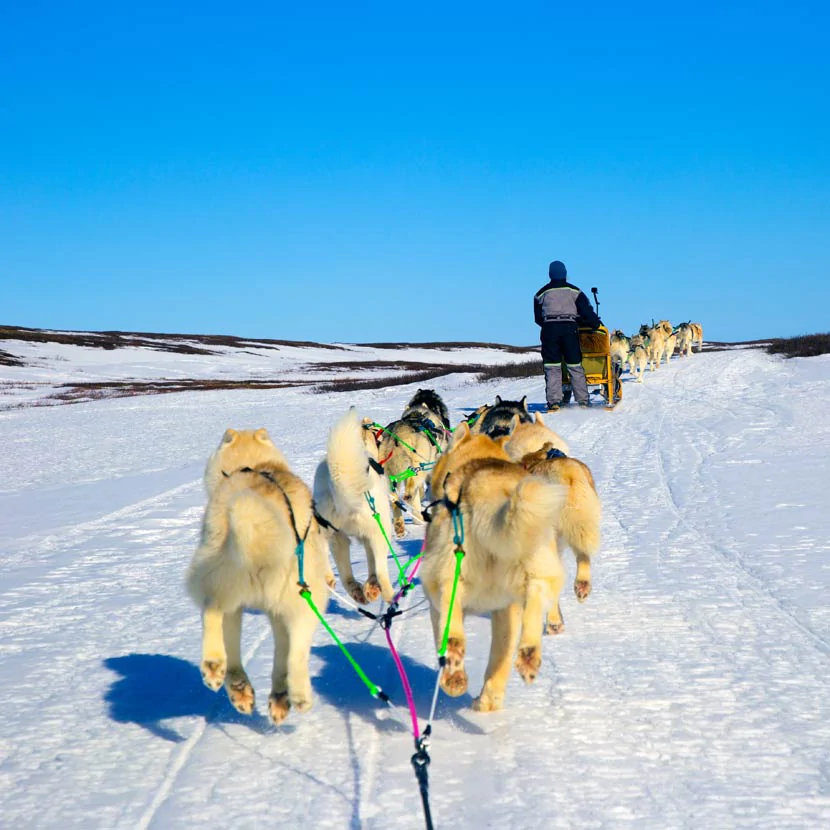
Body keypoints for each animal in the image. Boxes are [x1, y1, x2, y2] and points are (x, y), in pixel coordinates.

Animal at [187, 428, 330, 728]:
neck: (253, 465)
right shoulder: (279, 611)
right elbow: (284, 655)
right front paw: (281, 697)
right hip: (305, 596)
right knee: (298, 653)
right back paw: (299, 695)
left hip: (221, 577)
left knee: (213, 612)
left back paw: (220, 672)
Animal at [316, 410, 400, 604]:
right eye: (376, 431)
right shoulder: (370, 536)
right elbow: (373, 566)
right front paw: (372, 586)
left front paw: (369, 587)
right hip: (380, 531)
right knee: (381, 571)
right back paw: (390, 595)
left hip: (334, 535)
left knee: (343, 573)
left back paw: (342, 584)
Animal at [422, 426, 564, 712]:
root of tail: (491, 489)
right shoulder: (505, 610)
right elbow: (500, 661)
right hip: (534, 570)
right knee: (534, 600)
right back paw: (527, 658)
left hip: (445, 578)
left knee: (452, 634)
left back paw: (453, 677)